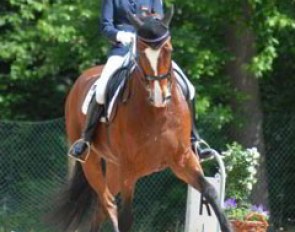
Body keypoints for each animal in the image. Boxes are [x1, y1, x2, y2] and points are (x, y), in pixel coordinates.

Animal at [49, 7, 234, 232]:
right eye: (140, 52)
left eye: (168, 50)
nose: (159, 96)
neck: (158, 115)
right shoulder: (129, 171)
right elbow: (126, 218)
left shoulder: (183, 159)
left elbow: (210, 192)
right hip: (92, 162)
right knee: (107, 203)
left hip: (114, 167)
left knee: (102, 207)